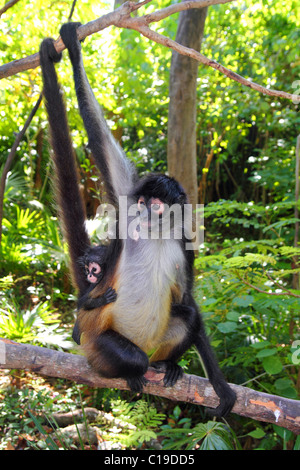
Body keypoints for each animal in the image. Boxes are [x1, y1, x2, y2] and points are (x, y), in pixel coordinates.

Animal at [39, 23, 237, 416]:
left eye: (157, 205)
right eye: (142, 201)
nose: (144, 211)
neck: (156, 236)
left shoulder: (183, 244)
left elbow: (189, 302)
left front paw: (221, 387)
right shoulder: (125, 206)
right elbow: (102, 144)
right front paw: (72, 47)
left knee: (186, 316)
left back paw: (165, 364)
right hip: (98, 342)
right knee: (131, 356)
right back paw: (129, 371)